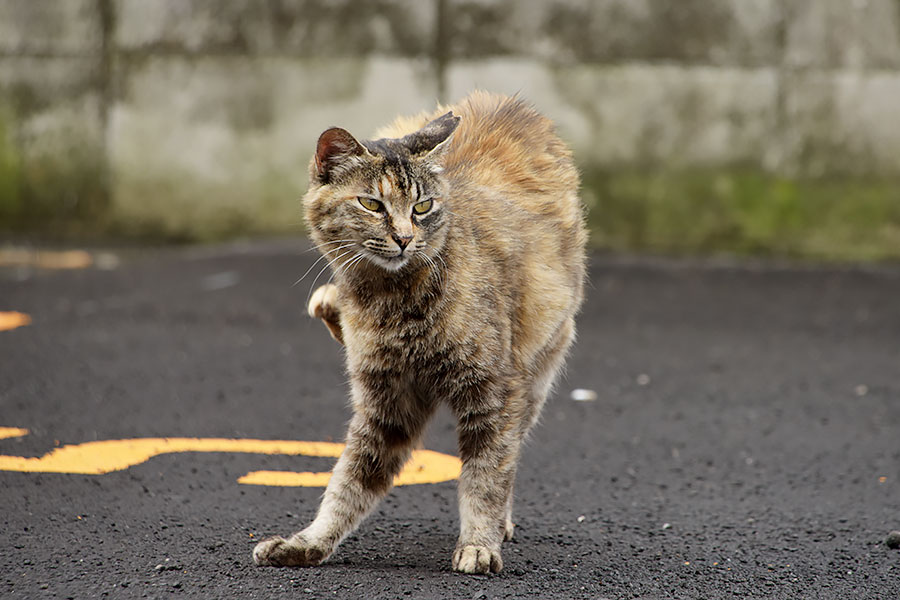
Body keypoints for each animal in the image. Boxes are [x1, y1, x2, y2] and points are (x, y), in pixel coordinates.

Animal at [253, 91, 588, 576]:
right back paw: (329, 301)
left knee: (511, 454)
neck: (390, 302)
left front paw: (479, 543)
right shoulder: (387, 404)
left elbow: (486, 477)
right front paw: (309, 542)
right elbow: (349, 482)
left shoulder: (494, 392)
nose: (405, 238)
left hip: (537, 376)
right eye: (372, 205)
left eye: (423, 206)